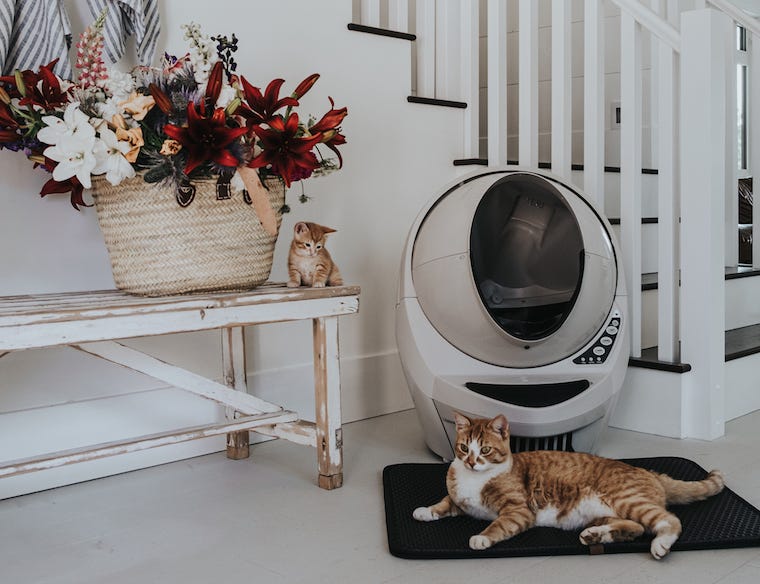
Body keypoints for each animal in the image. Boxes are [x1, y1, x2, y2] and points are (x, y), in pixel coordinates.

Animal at [416, 412, 724, 560]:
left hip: (627, 499)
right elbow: (445, 501)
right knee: (635, 527)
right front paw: (425, 511)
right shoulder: (459, 499)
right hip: (605, 512)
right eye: (464, 447)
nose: (470, 462)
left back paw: (660, 544)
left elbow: (497, 526)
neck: (474, 479)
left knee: (669, 520)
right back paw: (597, 536)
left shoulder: (518, 511)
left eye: (486, 450)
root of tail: (649, 471)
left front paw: (481, 537)